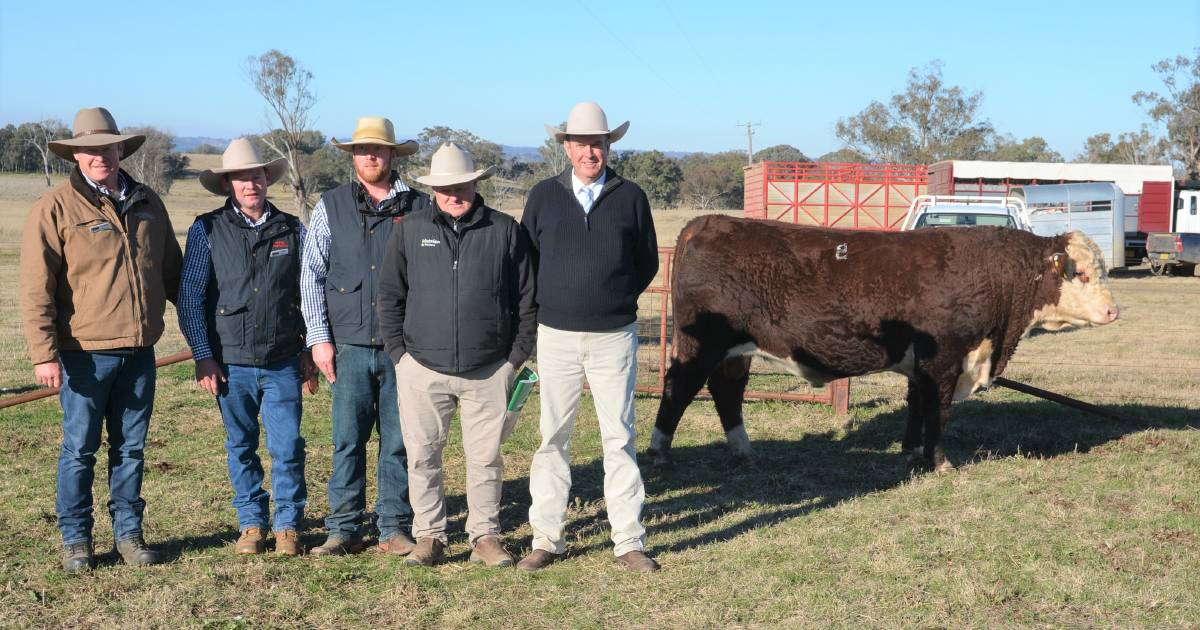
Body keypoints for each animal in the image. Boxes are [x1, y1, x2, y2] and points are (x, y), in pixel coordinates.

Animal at [652, 213, 1118, 468]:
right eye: (1079, 273)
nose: (1114, 311)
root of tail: (707, 223)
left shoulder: (921, 364)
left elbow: (916, 406)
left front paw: (911, 453)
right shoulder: (945, 359)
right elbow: (939, 411)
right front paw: (940, 462)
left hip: (736, 351)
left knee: (726, 392)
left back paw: (743, 452)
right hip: (701, 346)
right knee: (678, 388)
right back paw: (661, 452)